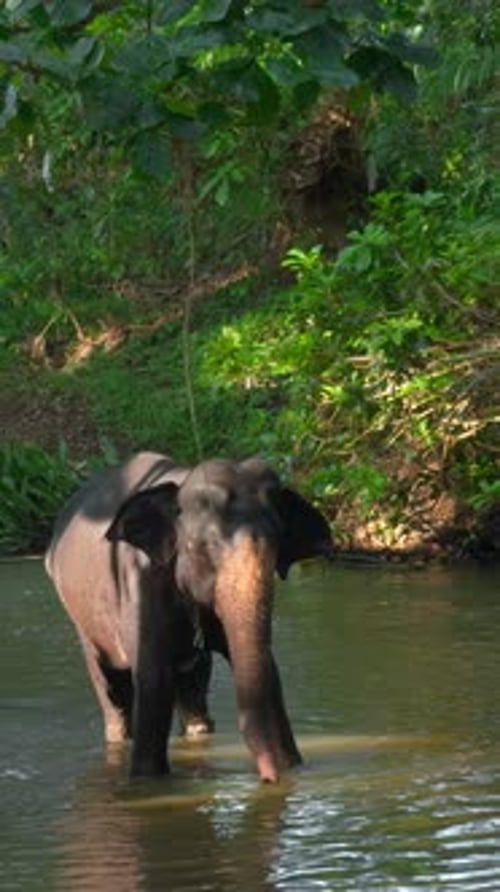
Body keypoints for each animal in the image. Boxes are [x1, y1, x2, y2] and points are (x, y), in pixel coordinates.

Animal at [45, 452, 333, 782]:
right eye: (202, 546)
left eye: (277, 542)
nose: (270, 779)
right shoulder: (140, 582)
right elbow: (154, 681)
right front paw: (146, 781)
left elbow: (269, 674)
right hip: (79, 614)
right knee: (110, 688)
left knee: (194, 689)